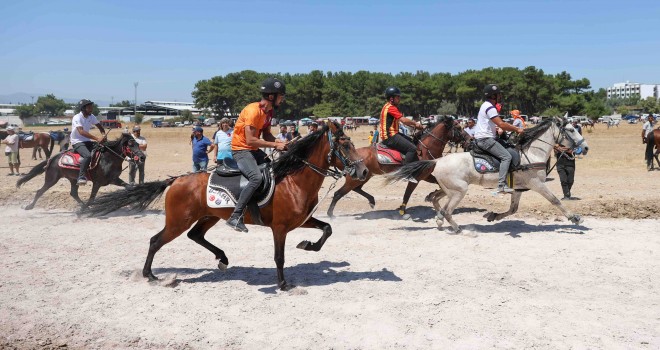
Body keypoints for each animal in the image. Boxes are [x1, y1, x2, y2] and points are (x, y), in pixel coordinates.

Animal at [16, 132, 145, 211]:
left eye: (138, 144)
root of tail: (53, 158)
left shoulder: (114, 179)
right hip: (51, 179)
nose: (142, 157)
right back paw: (29, 206)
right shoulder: (97, 182)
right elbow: (92, 198)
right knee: (40, 191)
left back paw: (83, 206)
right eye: (130, 145)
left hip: (73, 180)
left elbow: (129, 187)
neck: (109, 158)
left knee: (73, 193)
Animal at [80, 121, 368, 292]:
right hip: (178, 221)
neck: (294, 180)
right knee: (156, 241)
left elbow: (327, 228)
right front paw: (283, 284)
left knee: (195, 235)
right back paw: (150, 275)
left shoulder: (302, 220)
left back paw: (222, 259)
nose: (364, 171)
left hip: (209, 216)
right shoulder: (280, 227)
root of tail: (176, 180)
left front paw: (308, 245)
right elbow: (279, 257)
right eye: (345, 145)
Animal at [328, 116, 466, 217]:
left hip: (364, 176)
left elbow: (439, 184)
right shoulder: (416, 178)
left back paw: (371, 200)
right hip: (353, 180)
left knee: (356, 189)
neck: (424, 150)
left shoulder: (426, 176)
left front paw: (431, 195)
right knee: (338, 194)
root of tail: (349, 160)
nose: (469, 139)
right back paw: (330, 214)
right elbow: (407, 194)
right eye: (459, 127)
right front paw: (402, 211)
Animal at [386, 116, 588, 234]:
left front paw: (493, 216)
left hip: (449, 188)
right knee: (447, 210)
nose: (585, 148)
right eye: (571, 130)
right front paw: (574, 218)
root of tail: (437, 161)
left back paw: (440, 220)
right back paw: (456, 228)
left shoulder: (518, 189)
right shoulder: (537, 184)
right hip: (459, 191)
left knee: (434, 198)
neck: (531, 154)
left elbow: (513, 209)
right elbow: (555, 200)